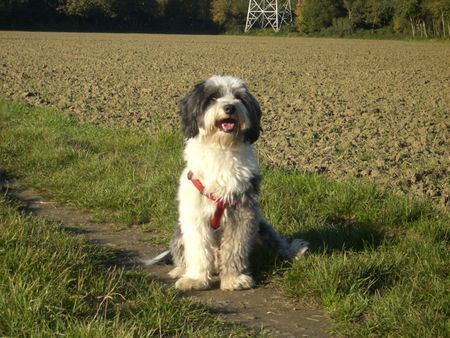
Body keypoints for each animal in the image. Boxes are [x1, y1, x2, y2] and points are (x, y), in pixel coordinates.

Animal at [144, 76, 310, 290]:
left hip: (261, 226)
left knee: (276, 244)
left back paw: (294, 251)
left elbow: (235, 248)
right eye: (213, 97)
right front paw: (196, 279)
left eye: (238, 97)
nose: (230, 107)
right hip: (180, 231)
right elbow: (198, 250)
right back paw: (181, 271)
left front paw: (234, 279)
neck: (221, 148)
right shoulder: (196, 216)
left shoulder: (242, 212)